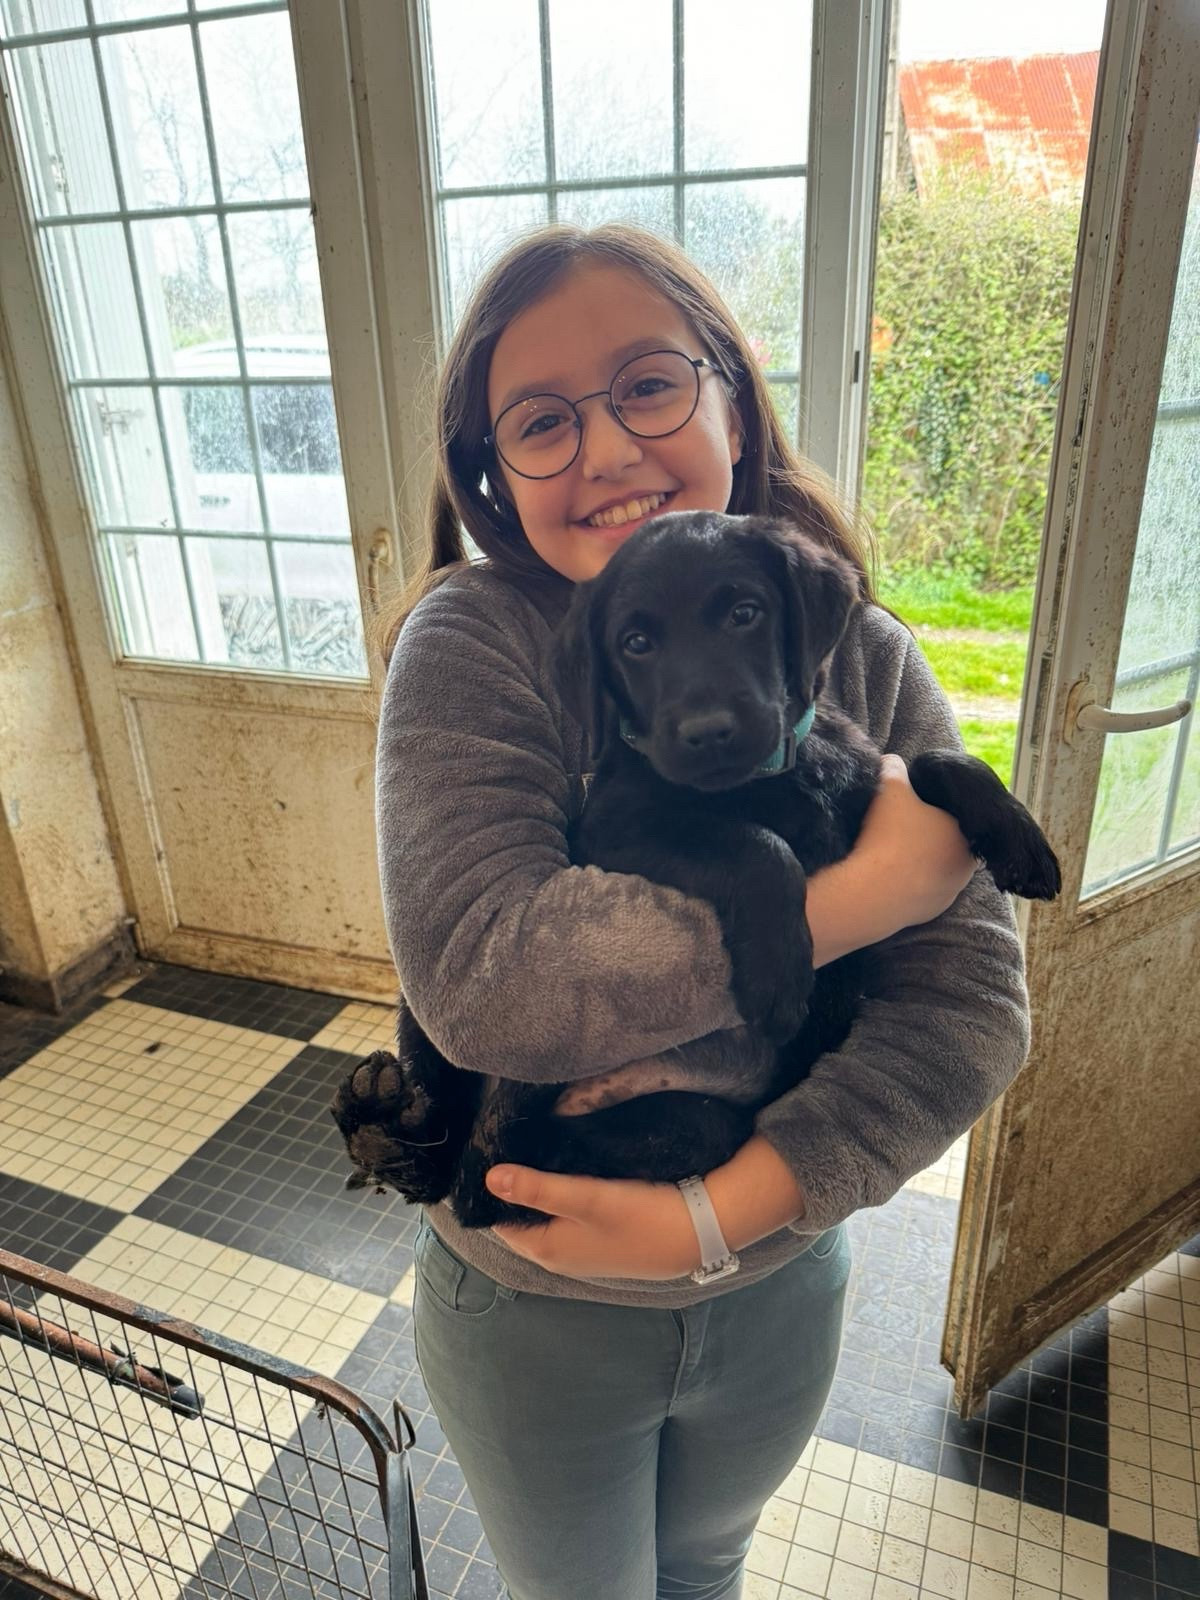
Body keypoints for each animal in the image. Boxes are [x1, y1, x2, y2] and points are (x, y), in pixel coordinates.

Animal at [331, 512, 1062, 1222]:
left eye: (745, 613)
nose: (708, 732)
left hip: (693, 1123)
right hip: (432, 1020)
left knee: (508, 1164)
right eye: (635, 643)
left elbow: (932, 760)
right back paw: (383, 1121)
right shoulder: (615, 834)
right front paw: (778, 975)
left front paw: (1021, 839)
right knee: (468, 1161)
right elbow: (755, 844)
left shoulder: (863, 777)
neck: (770, 777)